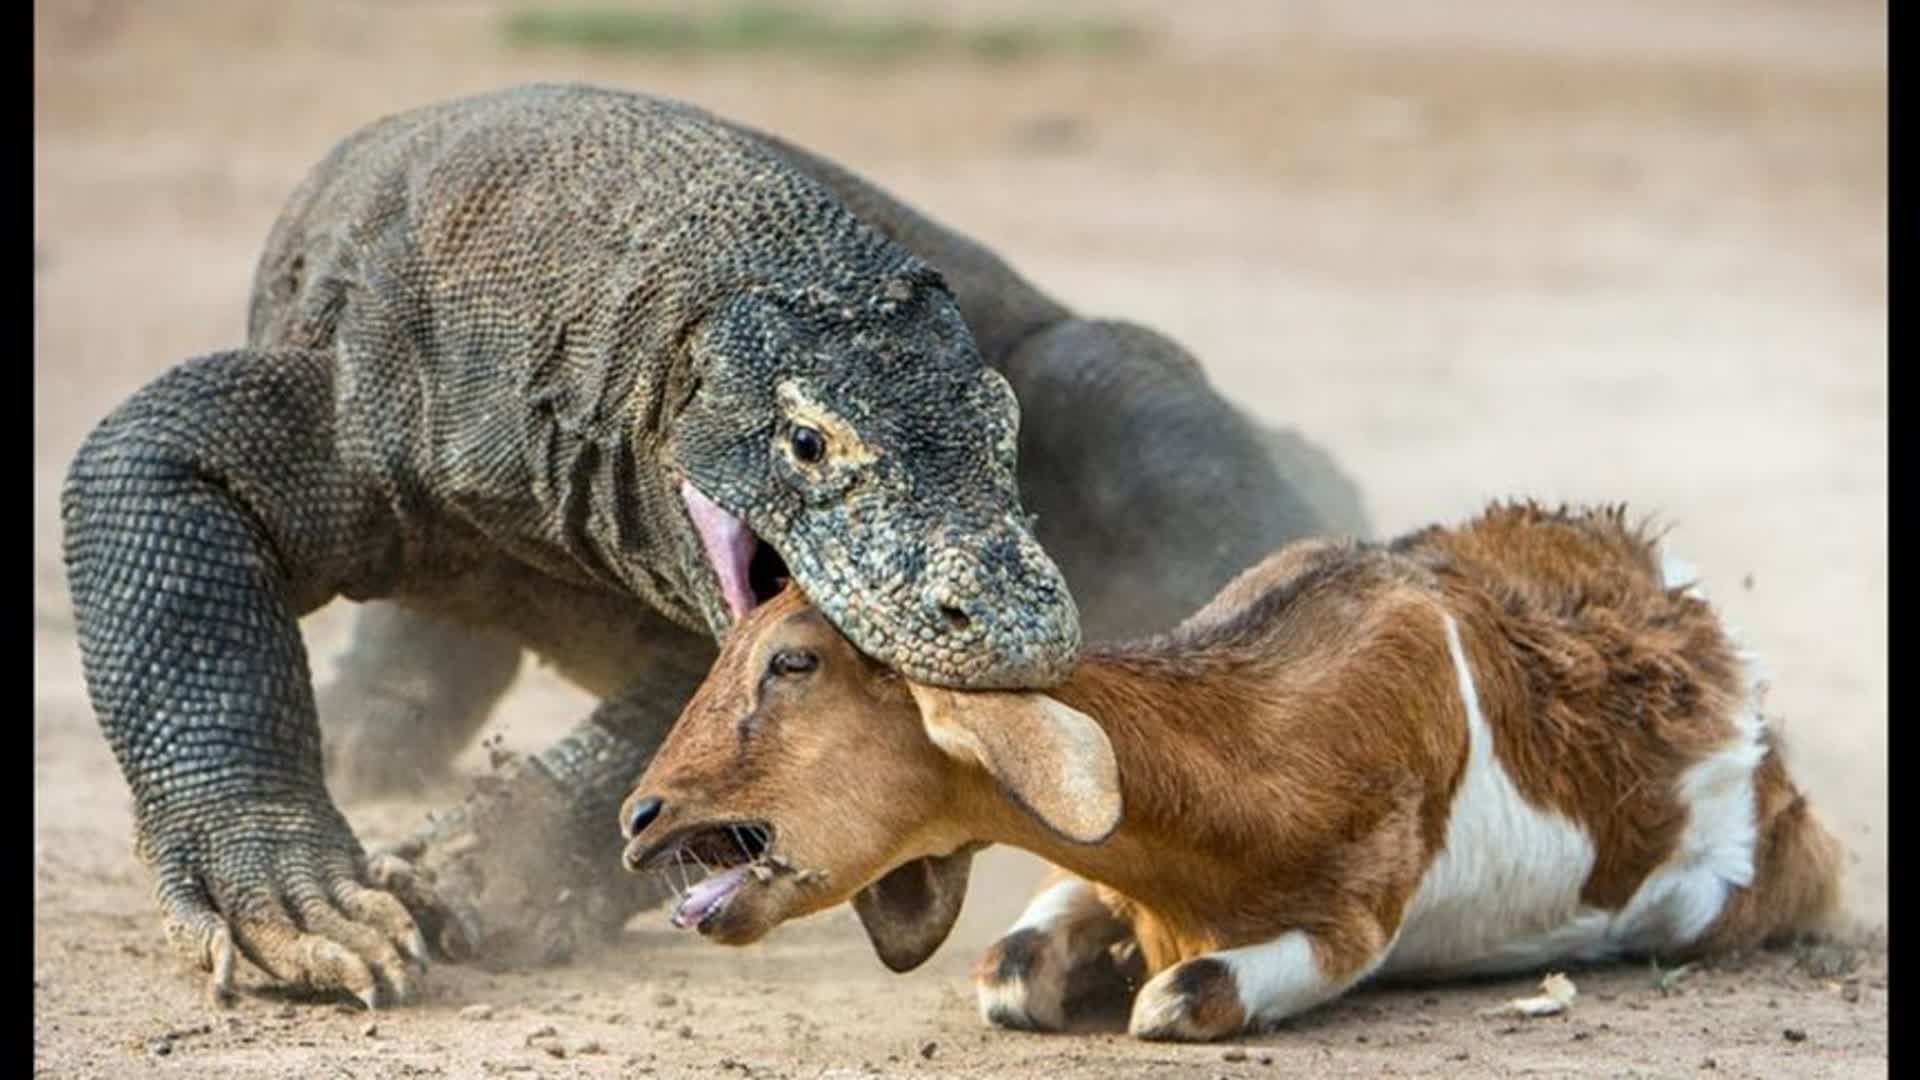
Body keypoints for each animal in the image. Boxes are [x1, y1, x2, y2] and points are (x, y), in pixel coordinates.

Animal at [618, 499, 1843, 1037]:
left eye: (793, 661)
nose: (640, 816)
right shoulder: (1097, 873)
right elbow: (1009, 968)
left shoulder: (1353, 919)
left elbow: (1183, 997)